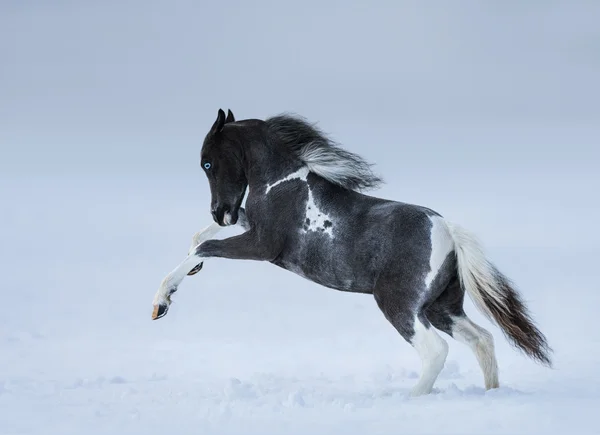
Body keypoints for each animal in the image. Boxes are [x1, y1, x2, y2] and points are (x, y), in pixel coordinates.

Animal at [151, 110, 552, 398]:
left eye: (207, 163)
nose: (220, 211)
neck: (283, 185)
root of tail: (447, 232)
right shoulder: (251, 227)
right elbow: (202, 238)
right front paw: (188, 274)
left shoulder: (262, 245)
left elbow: (204, 245)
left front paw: (161, 303)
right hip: (442, 307)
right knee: (481, 339)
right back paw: (490, 393)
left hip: (399, 304)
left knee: (436, 350)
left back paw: (411, 398)